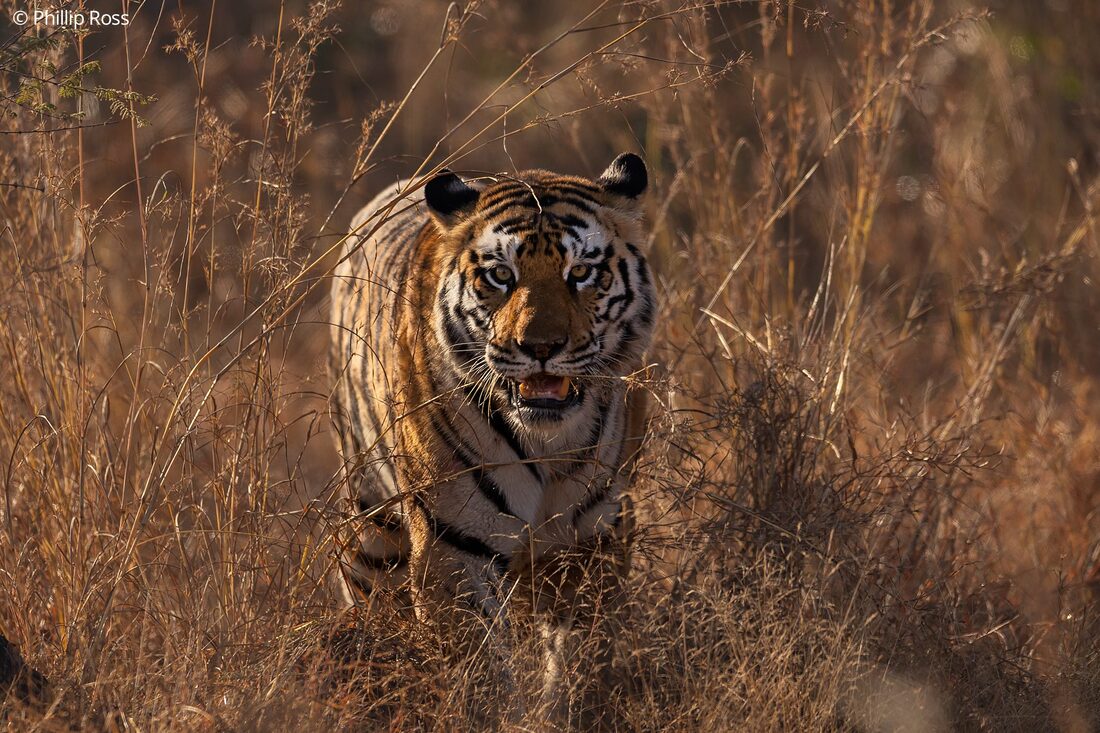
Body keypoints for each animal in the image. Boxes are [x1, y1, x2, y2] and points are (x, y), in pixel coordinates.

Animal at [328, 153, 655, 718]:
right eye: (501, 275)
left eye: (581, 272)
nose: (540, 346)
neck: (549, 445)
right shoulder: (454, 548)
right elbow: (478, 675)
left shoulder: (592, 545)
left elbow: (580, 663)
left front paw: (563, 712)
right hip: (372, 530)